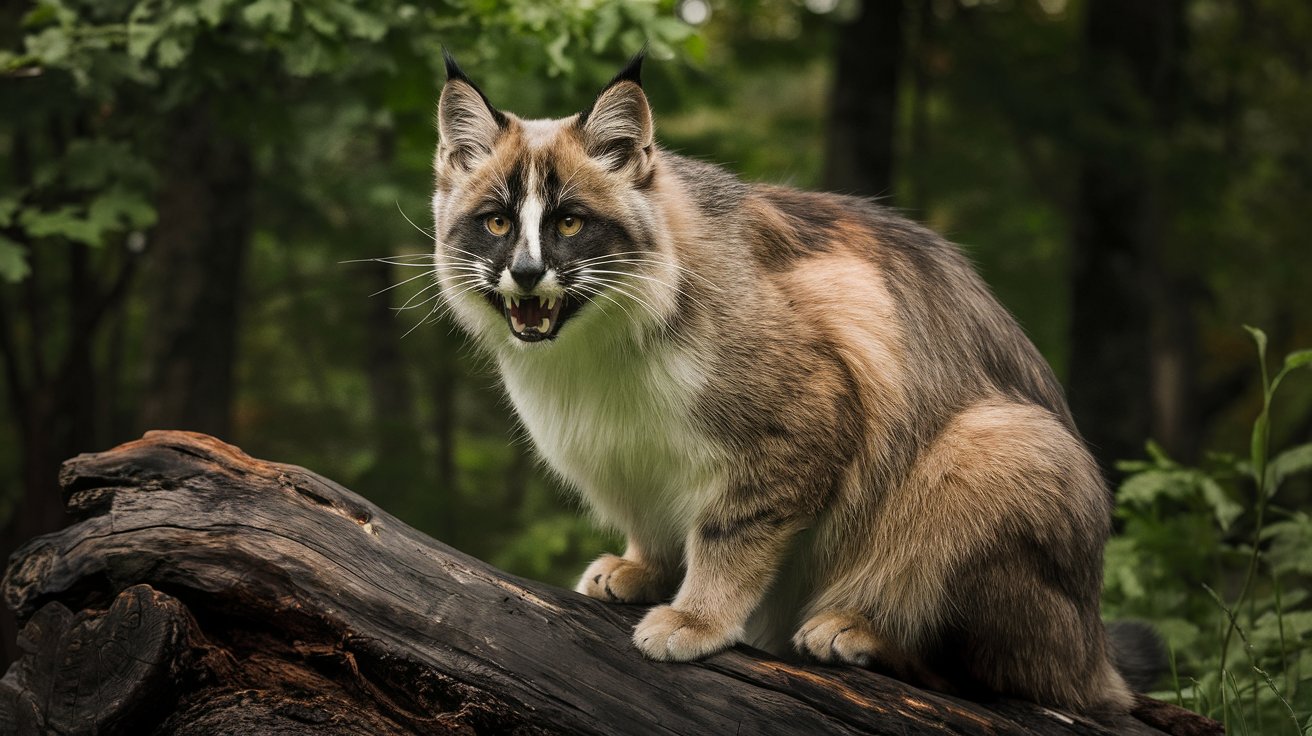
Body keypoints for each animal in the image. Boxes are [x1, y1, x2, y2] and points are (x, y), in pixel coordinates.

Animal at [432, 53, 1159, 718]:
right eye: (497, 222)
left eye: (570, 223)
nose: (527, 273)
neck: (594, 342)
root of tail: (1096, 649)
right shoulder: (625, 451)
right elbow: (653, 513)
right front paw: (642, 569)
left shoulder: (806, 416)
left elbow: (729, 530)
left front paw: (696, 618)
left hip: (999, 442)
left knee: (1020, 682)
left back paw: (860, 630)